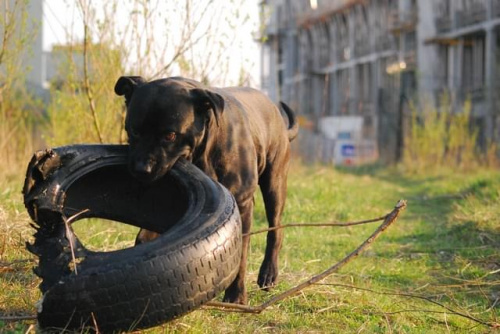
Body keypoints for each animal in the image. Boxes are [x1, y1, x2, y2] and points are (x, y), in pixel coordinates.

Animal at [114, 76, 296, 306]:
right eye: (134, 131)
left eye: (170, 135)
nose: (141, 168)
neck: (204, 152)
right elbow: (147, 236)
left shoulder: (243, 205)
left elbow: (241, 255)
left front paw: (236, 296)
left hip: (275, 182)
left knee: (276, 228)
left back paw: (268, 274)